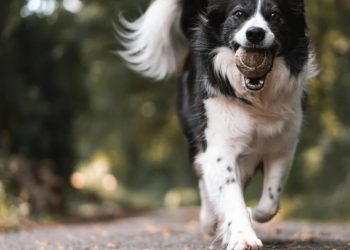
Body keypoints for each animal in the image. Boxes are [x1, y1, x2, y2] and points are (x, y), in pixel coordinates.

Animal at [117, 0, 318, 250]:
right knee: (204, 180)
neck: (256, 99)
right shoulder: (219, 147)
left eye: (275, 15)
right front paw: (242, 235)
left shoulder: (282, 146)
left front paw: (250, 215)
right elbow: (230, 195)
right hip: (195, 140)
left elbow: (270, 202)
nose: (255, 33)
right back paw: (209, 221)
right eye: (238, 14)